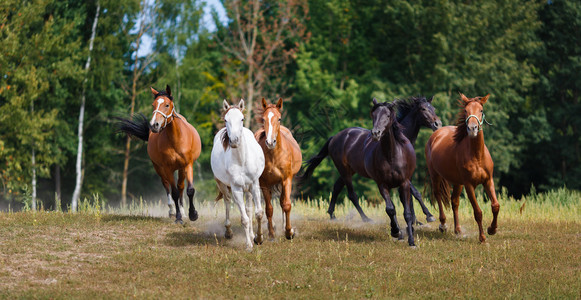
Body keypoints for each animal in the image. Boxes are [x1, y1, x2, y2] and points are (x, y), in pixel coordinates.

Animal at [115, 84, 202, 223]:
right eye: (153, 104)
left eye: (167, 105)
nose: (154, 125)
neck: (176, 139)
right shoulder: (167, 168)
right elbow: (174, 192)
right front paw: (178, 217)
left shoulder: (188, 164)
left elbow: (189, 190)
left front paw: (193, 214)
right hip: (158, 168)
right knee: (166, 185)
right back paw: (172, 211)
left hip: (181, 168)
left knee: (181, 186)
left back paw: (183, 212)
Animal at [211, 99, 266, 251]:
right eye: (225, 119)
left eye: (242, 119)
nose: (234, 141)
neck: (242, 160)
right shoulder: (236, 189)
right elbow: (244, 219)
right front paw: (248, 245)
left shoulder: (254, 184)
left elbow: (258, 213)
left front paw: (258, 238)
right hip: (222, 184)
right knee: (227, 201)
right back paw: (228, 232)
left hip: (248, 188)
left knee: (249, 208)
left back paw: (252, 235)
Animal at [255, 98, 304, 239]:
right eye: (264, 119)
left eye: (279, 118)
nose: (270, 142)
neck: (274, 155)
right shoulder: (264, 182)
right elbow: (269, 209)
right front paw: (271, 233)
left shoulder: (286, 179)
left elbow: (286, 205)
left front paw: (289, 232)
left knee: (283, 201)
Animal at [302, 99, 420, 246]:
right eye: (373, 115)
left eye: (388, 115)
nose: (375, 133)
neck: (392, 155)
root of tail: (335, 137)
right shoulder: (382, 184)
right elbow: (390, 209)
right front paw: (396, 231)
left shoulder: (404, 183)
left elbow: (407, 211)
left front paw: (411, 239)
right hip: (345, 171)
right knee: (352, 194)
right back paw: (366, 219)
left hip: (350, 171)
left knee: (337, 187)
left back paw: (333, 215)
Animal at [424, 92, 500, 243]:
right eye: (466, 111)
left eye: (481, 110)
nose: (472, 128)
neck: (477, 156)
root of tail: (436, 134)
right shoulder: (469, 185)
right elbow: (478, 212)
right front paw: (482, 237)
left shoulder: (488, 181)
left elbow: (495, 206)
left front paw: (492, 229)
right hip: (435, 175)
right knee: (438, 195)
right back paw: (443, 225)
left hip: (457, 182)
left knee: (454, 201)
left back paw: (458, 230)